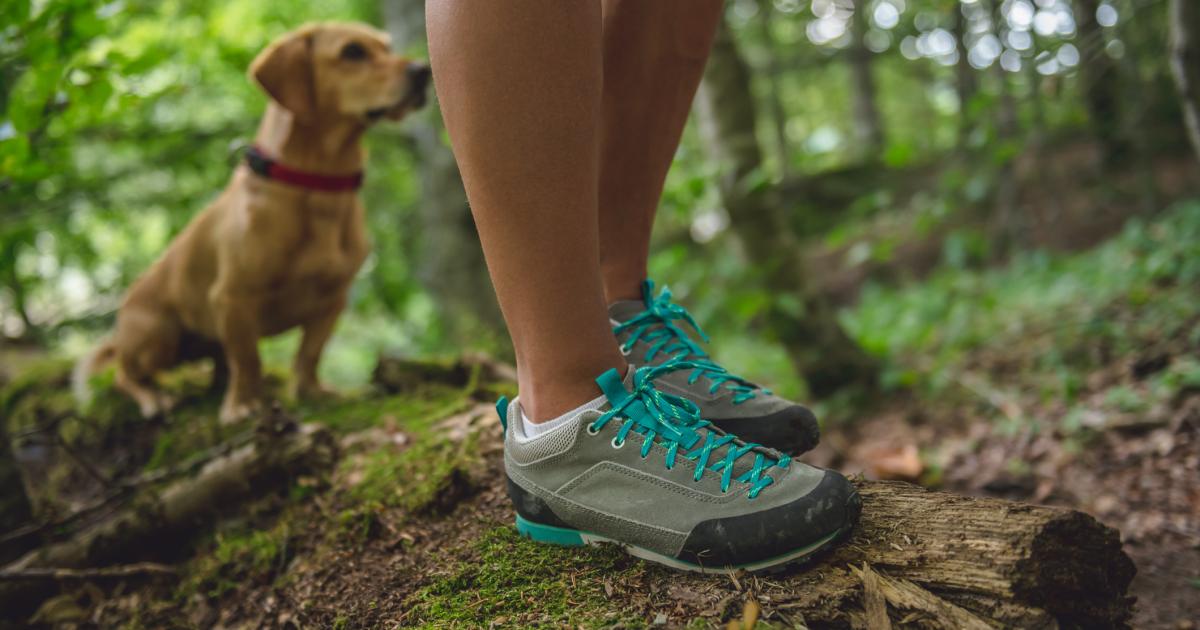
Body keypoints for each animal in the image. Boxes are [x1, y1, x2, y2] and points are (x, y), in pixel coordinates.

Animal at [75, 22, 432, 422]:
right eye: (353, 51)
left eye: (387, 46)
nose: (423, 71)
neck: (317, 186)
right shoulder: (233, 298)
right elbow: (248, 360)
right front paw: (244, 405)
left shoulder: (333, 299)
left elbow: (309, 354)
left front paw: (311, 392)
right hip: (157, 337)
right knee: (125, 374)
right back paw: (154, 398)